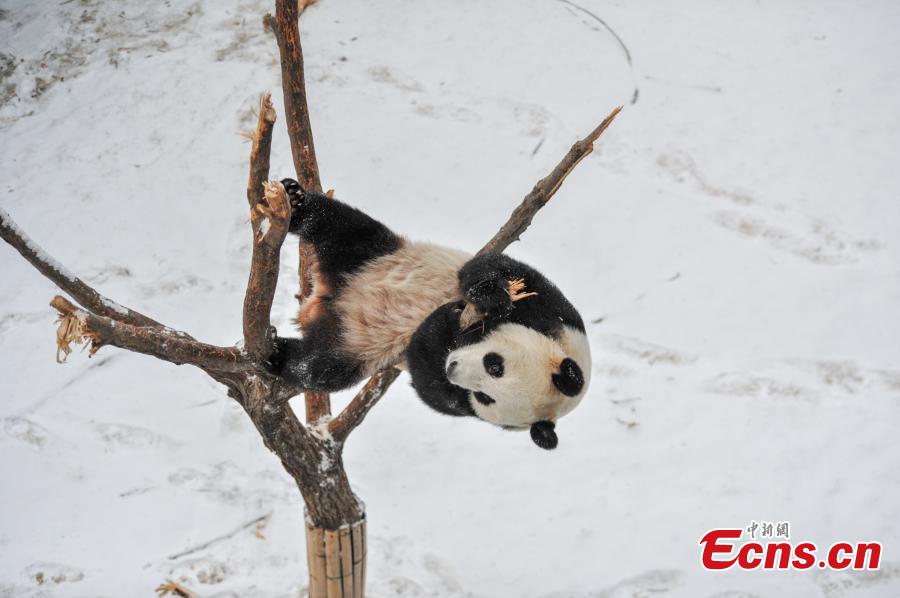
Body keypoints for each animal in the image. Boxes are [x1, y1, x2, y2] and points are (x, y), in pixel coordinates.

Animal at [268, 179, 591, 449]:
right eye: (495, 365)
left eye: (485, 396)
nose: (453, 367)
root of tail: (325, 299)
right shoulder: (555, 312)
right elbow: (491, 268)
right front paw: (491, 296)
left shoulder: (463, 405)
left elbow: (428, 380)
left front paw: (440, 325)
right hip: (376, 255)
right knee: (341, 226)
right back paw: (296, 201)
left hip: (354, 348)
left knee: (322, 369)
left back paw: (278, 353)